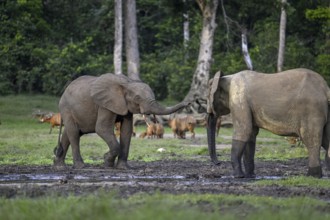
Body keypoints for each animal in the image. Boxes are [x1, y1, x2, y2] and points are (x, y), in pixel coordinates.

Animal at [53, 73, 188, 168]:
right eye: (137, 98)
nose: (187, 103)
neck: (127, 83)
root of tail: (64, 91)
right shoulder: (105, 104)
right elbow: (102, 128)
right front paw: (107, 162)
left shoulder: (125, 106)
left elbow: (127, 131)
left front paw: (123, 168)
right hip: (66, 108)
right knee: (74, 133)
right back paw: (80, 166)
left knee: (69, 133)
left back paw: (59, 166)